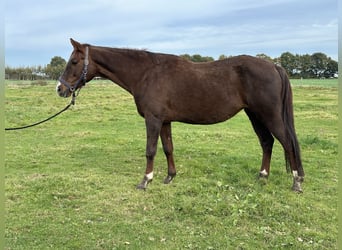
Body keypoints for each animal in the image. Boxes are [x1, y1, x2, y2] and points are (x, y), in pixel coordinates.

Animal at [56, 38, 304, 191]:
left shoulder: (153, 119)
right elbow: (168, 148)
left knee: (287, 143)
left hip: (269, 115)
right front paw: (169, 176)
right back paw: (263, 176)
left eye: (74, 61)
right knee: (267, 142)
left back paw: (296, 182)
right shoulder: (165, 121)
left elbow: (151, 150)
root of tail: (274, 66)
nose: (60, 89)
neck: (146, 73)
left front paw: (145, 180)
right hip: (255, 115)